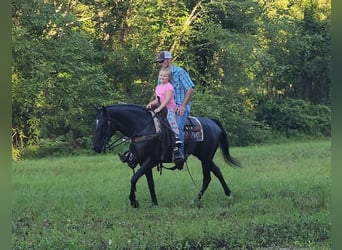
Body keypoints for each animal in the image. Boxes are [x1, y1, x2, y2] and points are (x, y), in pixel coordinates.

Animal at [92, 102, 239, 208]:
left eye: (104, 123)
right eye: (96, 122)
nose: (96, 147)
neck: (144, 128)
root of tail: (213, 122)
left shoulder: (151, 160)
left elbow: (134, 178)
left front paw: (134, 201)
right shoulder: (143, 162)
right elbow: (150, 182)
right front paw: (154, 203)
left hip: (206, 157)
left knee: (207, 178)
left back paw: (195, 200)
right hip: (204, 157)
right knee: (217, 171)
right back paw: (228, 193)